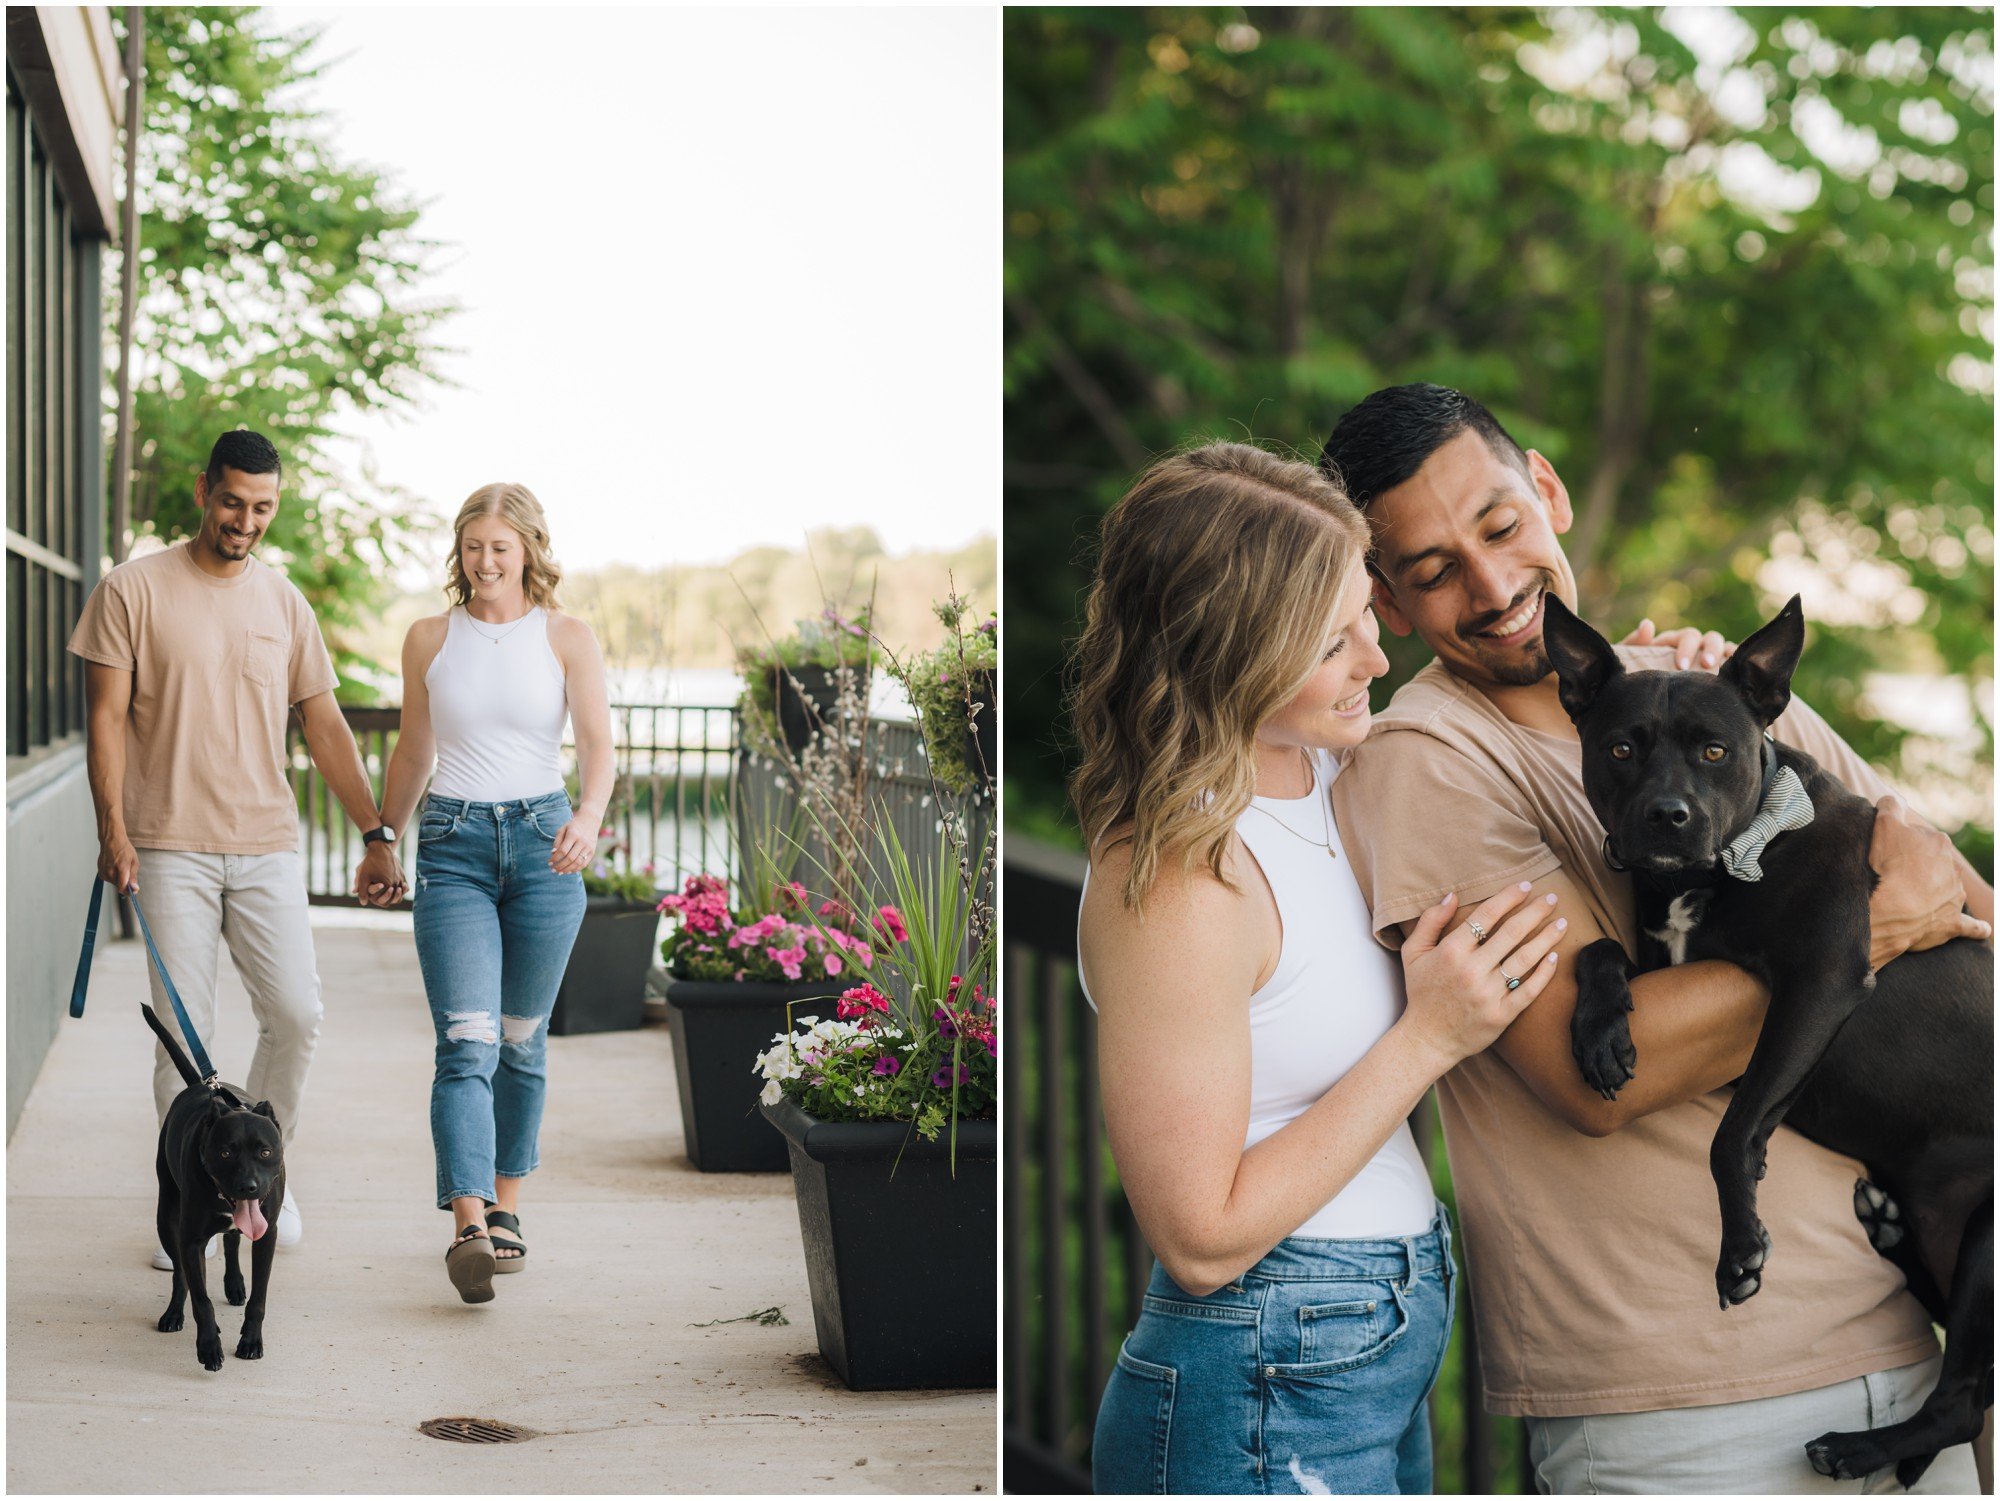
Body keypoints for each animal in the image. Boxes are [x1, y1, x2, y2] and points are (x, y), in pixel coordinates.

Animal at [143, 1012, 286, 1376]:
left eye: (265, 1152)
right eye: (225, 1153)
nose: (248, 1187)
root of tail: (201, 1085)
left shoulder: (267, 1235)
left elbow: (259, 1298)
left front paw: (251, 1341)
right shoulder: (191, 1240)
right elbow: (201, 1298)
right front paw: (209, 1346)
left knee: (233, 1241)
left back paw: (234, 1284)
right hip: (166, 1217)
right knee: (180, 1274)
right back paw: (173, 1314)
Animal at [1544, 592, 1984, 1488]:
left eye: (1715, 750)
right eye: (1620, 748)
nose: (1667, 816)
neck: (1711, 870)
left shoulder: (1822, 981)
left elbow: (1733, 1131)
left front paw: (1739, 1250)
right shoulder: (1666, 963)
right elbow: (1595, 948)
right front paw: (1601, 1034)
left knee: (1962, 1402)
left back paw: (1856, 1446)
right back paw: (1885, 1228)